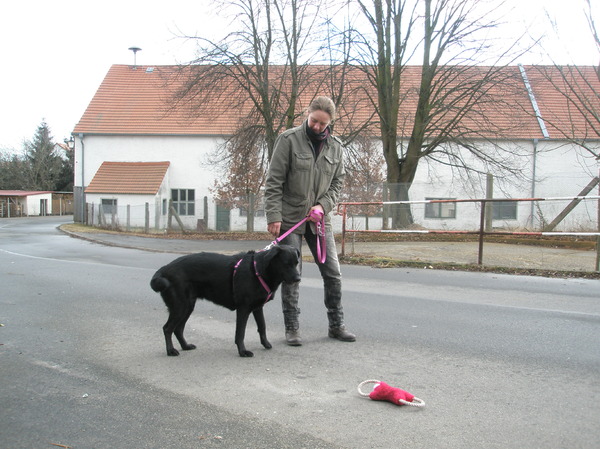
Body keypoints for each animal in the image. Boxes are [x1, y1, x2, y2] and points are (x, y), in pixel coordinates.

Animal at [150, 245, 300, 356]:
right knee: (167, 328)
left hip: (188, 306)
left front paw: (265, 344)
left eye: (297, 263)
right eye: (286, 264)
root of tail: (164, 269)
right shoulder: (243, 308)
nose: (298, 279)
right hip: (180, 306)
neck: (258, 270)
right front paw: (243, 351)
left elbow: (262, 326)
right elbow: (240, 333)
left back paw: (185, 346)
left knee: (178, 329)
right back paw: (171, 350)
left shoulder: (257, 308)